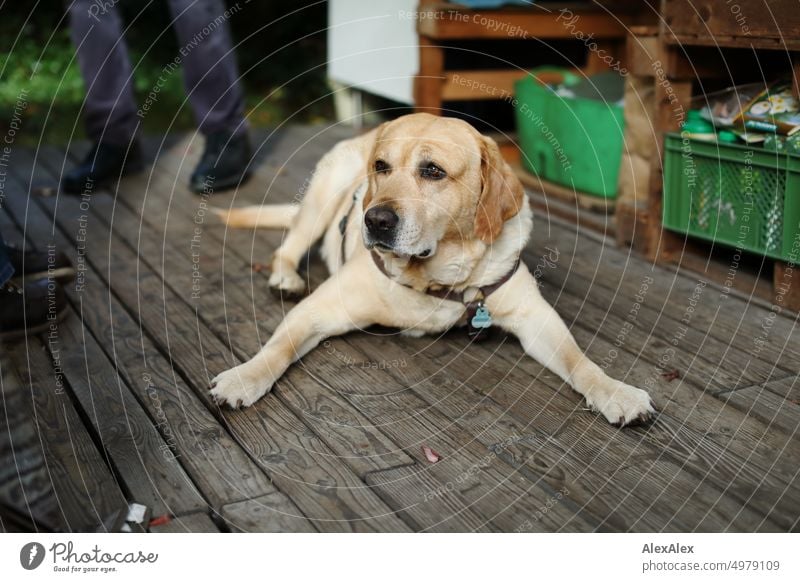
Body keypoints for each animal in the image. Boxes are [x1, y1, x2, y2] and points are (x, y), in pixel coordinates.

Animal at [212, 113, 656, 428]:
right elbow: (277, 348)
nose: (375, 220)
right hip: (322, 199)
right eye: (381, 166)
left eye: (433, 171)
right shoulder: (317, 310)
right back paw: (285, 277)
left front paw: (617, 392)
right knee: (288, 244)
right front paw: (243, 377)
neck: (437, 273)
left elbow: (579, 360)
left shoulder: (535, 317)